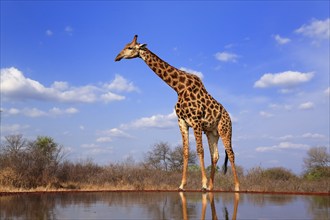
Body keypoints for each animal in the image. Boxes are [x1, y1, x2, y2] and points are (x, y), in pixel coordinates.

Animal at [114, 34, 238, 191]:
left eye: (130, 47)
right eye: (124, 46)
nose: (117, 57)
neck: (178, 88)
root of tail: (229, 117)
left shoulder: (196, 121)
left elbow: (199, 150)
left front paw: (203, 184)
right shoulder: (182, 121)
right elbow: (185, 152)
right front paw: (182, 185)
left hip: (225, 129)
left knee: (231, 153)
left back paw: (236, 186)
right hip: (212, 132)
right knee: (215, 156)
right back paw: (211, 187)